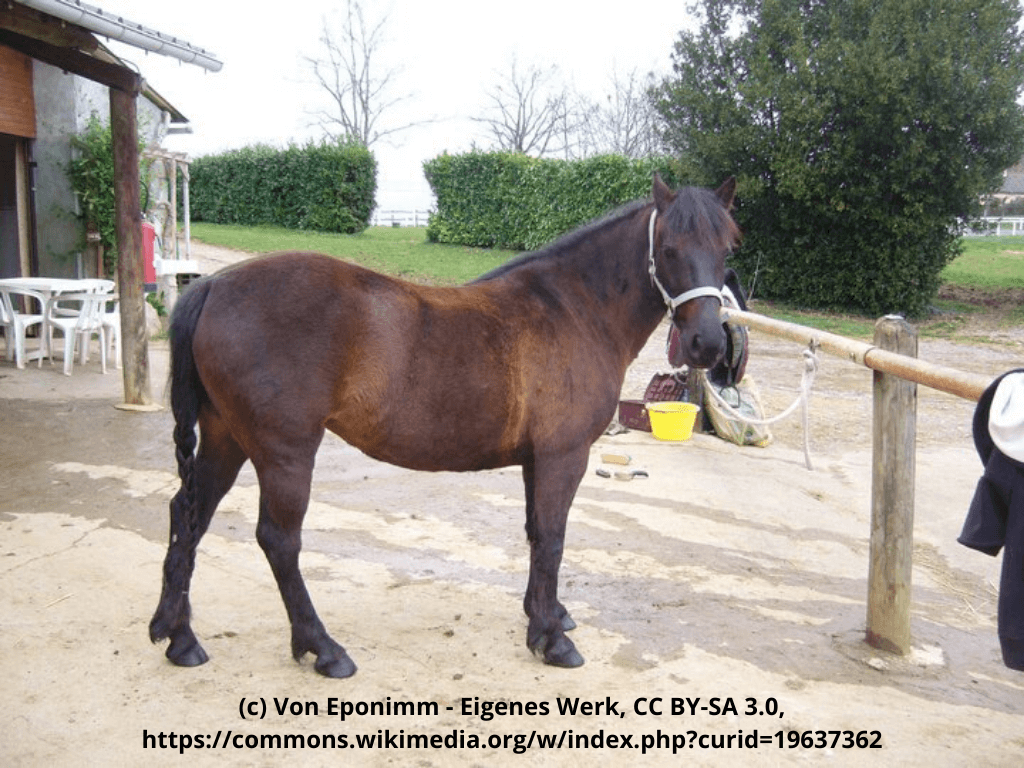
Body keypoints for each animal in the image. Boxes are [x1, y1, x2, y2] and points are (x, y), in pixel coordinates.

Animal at [149, 175, 740, 678]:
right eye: (668, 248)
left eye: (727, 248)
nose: (707, 345)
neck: (575, 308)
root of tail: (213, 287)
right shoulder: (563, 456)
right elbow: (552, 538)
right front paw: (551, 638)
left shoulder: (536, 460)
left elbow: (535, 535)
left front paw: (545, 614)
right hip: (284, 452)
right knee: (278, 540)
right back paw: (322, 648)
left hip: (227, 439)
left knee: (189, 516)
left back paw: (178, 637)